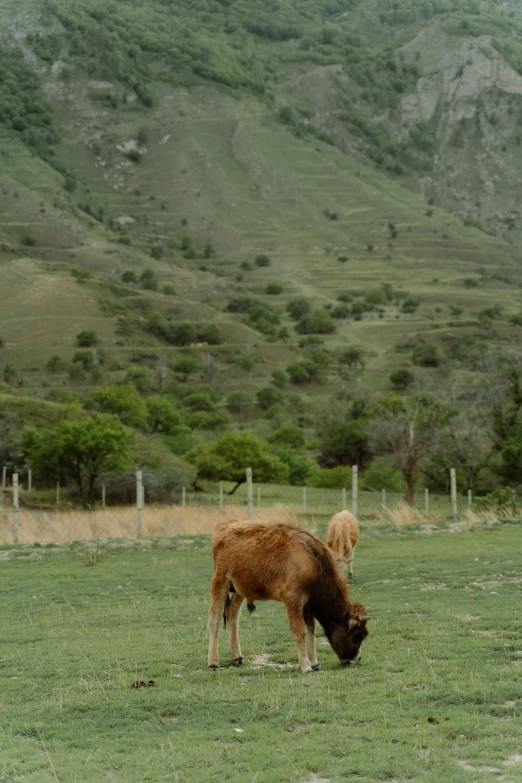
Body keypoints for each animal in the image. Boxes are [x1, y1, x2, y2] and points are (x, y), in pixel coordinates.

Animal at [205, 520, 368, 672]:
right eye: (357, 637)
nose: (357, 658)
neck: (312, 562)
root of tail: (224, 526)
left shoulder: (307, 606)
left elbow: (311, 630)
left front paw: (314, 662)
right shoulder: (293, 599)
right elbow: (300, 631)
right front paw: (306, 666)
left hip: (240, 589)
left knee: (233, 614)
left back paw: (237, 657)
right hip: (220, 581)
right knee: (215, 619)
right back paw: (213, 663)